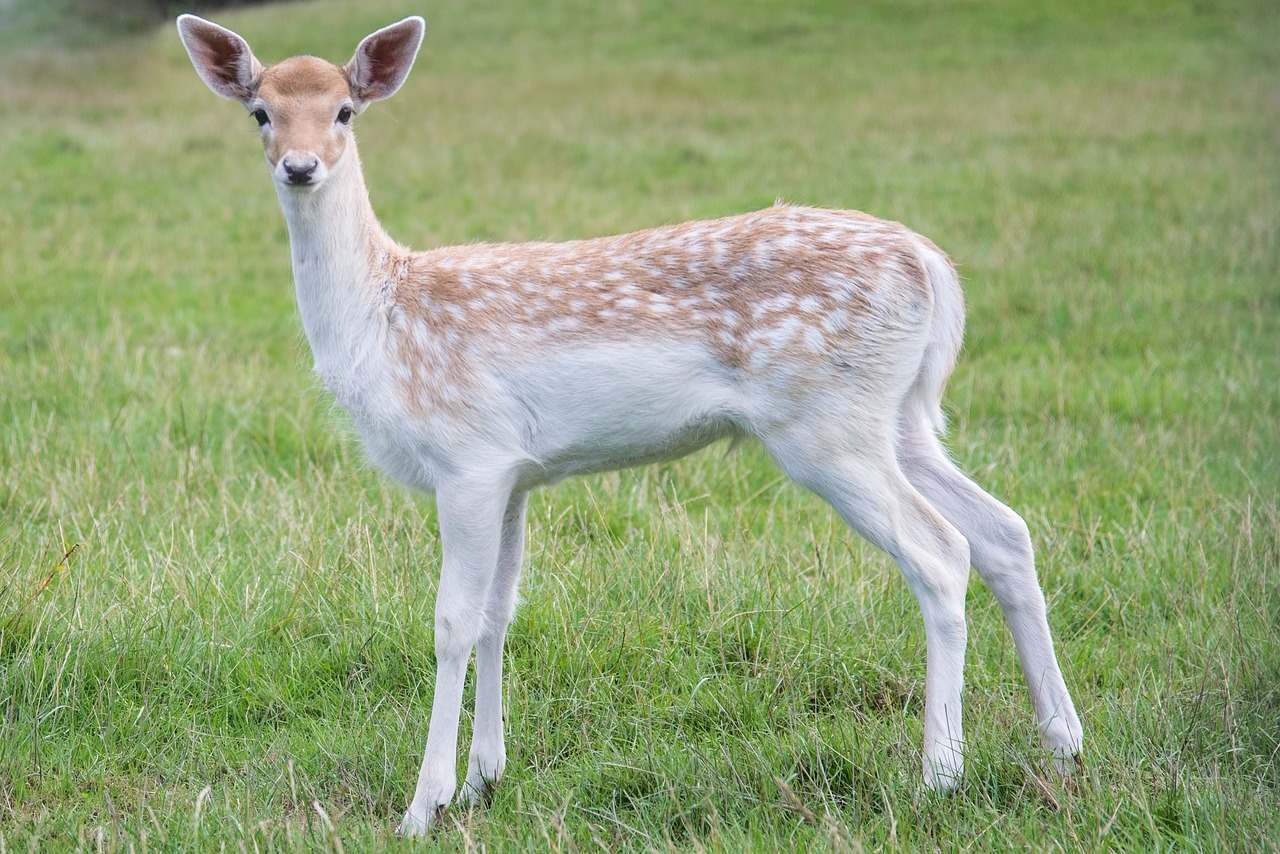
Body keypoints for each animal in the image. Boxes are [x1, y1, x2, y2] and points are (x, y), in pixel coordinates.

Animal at [177, 13, 1080, 839]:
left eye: (344, 110)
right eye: (259, 111)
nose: (299, 167)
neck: (381, 320)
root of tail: (933, 267)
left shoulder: (465, 457)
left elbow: (451, 623)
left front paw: (423, 806)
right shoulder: (515, 472)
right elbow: (502, 611)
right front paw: (485, 781)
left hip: (825, 423)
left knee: (941, 551)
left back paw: (938, 775)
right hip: (902, 415)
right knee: (1004, 530)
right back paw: (1062, 741)